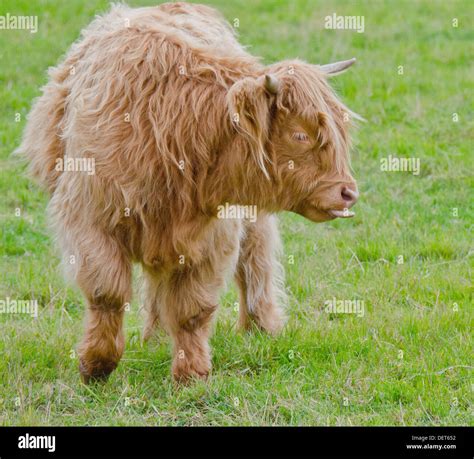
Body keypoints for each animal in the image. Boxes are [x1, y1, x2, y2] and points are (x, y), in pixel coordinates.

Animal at [18, 2, 360, 384]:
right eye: (300, 134)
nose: (348, 192)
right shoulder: (90, 219)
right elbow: (107, 293)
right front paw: (96, 365)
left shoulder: (214, 234)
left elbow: (193, 309)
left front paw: (191, 373)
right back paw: (154, 337)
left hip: (249, 217)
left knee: (255, 258)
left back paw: (261, 327)